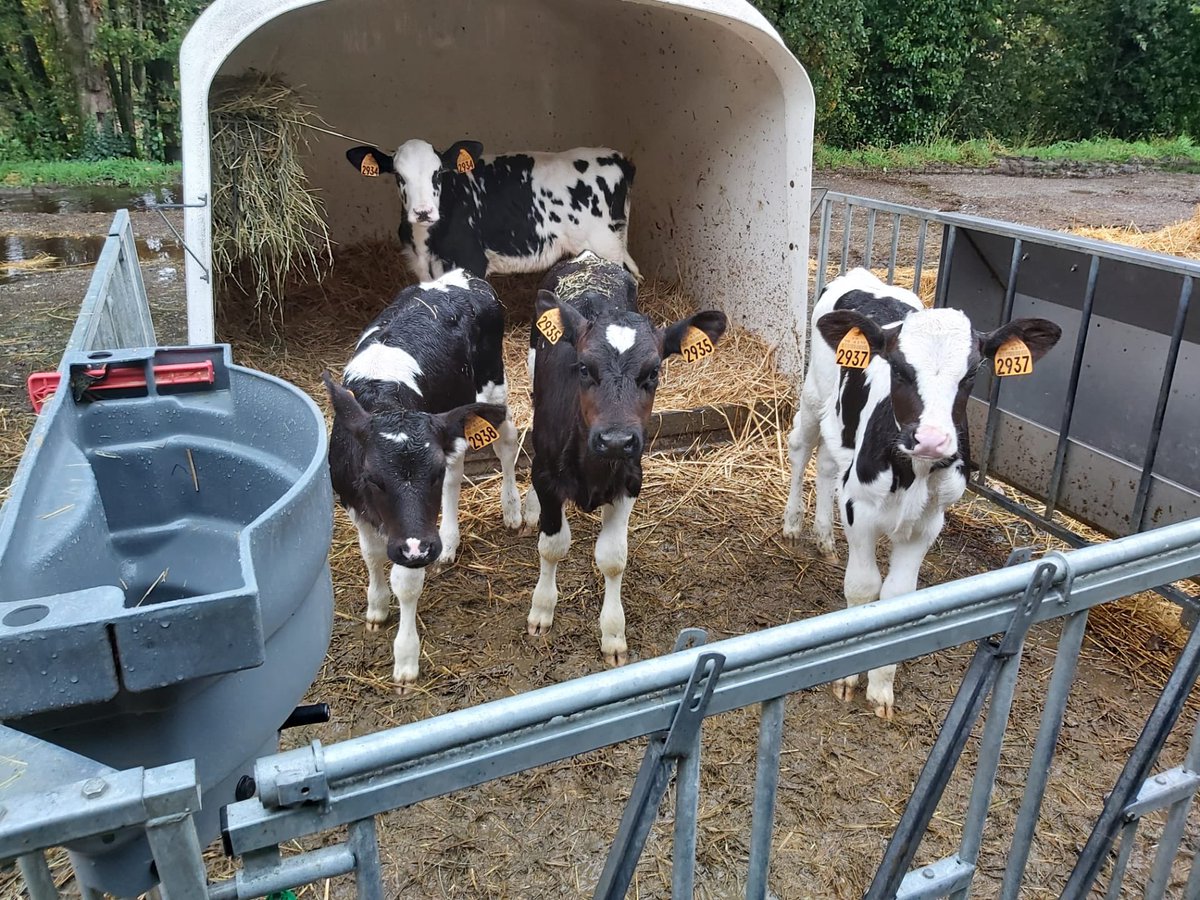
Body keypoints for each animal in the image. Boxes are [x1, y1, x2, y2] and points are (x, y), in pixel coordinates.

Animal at [323, 269, 522, 692]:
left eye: (429, 473)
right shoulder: (353, 501)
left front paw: (406, 658)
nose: (424, 548)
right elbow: (371, 554)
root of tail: (463, 275)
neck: (384, 396)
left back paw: (512, 510)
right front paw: (377, 605)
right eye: (373, 478)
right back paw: (449, 541)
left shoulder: (412, 537)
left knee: (506, 442)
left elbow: (407, 582)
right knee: (459, 466)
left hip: (492, 385)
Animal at [346, 139, 640, 282]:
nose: (423, 212)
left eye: (437, 172)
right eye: (398, 175)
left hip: (605, 245)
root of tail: (616, 157)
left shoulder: (471, 260)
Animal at [522, 250, 727, 665]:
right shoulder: (547, 477)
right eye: (584, 368)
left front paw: (613, 634)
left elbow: (613, 557)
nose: (616, 440)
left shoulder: (631, 479)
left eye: (654, 371)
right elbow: (552, 546)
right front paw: (542, 609)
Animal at [782, 267, 1061, 719]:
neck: (912, 473)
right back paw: (792, 526)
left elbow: (898, 597)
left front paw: (880, 687)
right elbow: (863, 587)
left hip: (840, 425)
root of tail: (861, 274)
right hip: (814, 393)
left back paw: (824, 537)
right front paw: (849, 677)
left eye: (972, 373)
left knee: (826, 464)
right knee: (801, 447)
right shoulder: (859, 507)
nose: (930, 439)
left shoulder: (928, 524)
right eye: (898, 368)